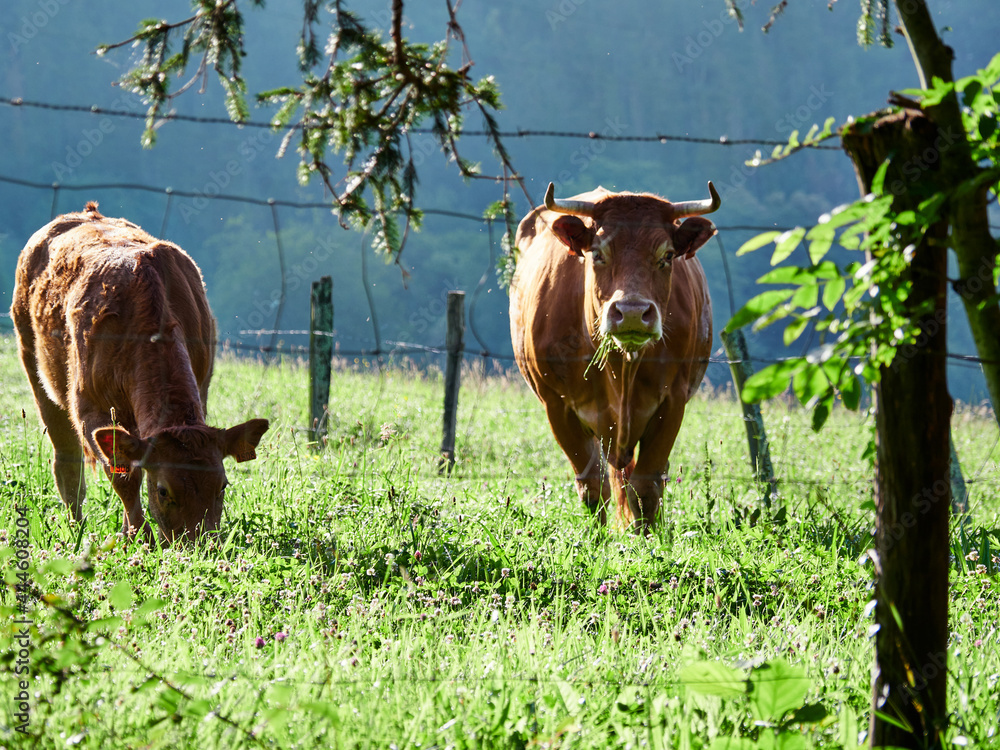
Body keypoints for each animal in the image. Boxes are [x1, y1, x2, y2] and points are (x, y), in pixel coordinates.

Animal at [11, 202, 269, 544]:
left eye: (223, 486)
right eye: (163, 491)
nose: (198, 547)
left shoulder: (202, 387)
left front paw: (130, 533)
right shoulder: (90, 409)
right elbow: (123, 476)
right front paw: (139, 536)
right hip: (35, 369)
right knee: (67, 464)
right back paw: (77, 529)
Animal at [509, 182, 719, 532]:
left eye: (667, 255)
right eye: (597, 253)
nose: (632, 312)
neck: (622, 368)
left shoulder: (673, 402)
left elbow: (646, 487)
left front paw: (648, 539)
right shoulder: (557, 405)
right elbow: (593, 487)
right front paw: (596, 540)